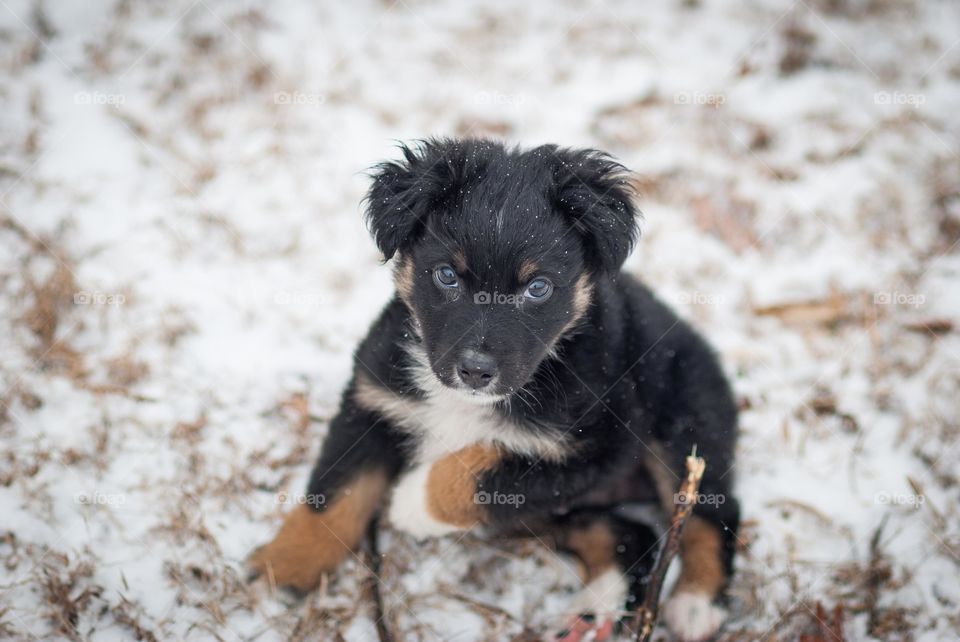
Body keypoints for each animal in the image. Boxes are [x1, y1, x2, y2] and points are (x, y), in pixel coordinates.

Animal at [249, 138, 744, 636]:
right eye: (447, 275)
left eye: (538, 288)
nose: (475, 370)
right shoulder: (373, 401)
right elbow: (335, 490)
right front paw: (287, 564)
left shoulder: (596, 447)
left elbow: (484, 467)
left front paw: (412, 502)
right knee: (629, 533)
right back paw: (594, 609)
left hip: (683, 425)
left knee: (712, 510)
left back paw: (696, 602)